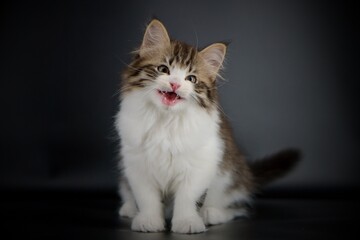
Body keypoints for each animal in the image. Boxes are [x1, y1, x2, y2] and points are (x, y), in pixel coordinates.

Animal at [114, 19, 298, 233]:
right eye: (163, 69)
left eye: (191, 79)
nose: (175, 84)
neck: (166, 120)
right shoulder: (137, 164)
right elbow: (147, 197)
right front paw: (149, 221)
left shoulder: (200, 163)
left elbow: (187, 197)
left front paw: (187, 223)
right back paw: (129, 208)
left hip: (230, 176)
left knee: (239, 207)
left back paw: (212, 213)